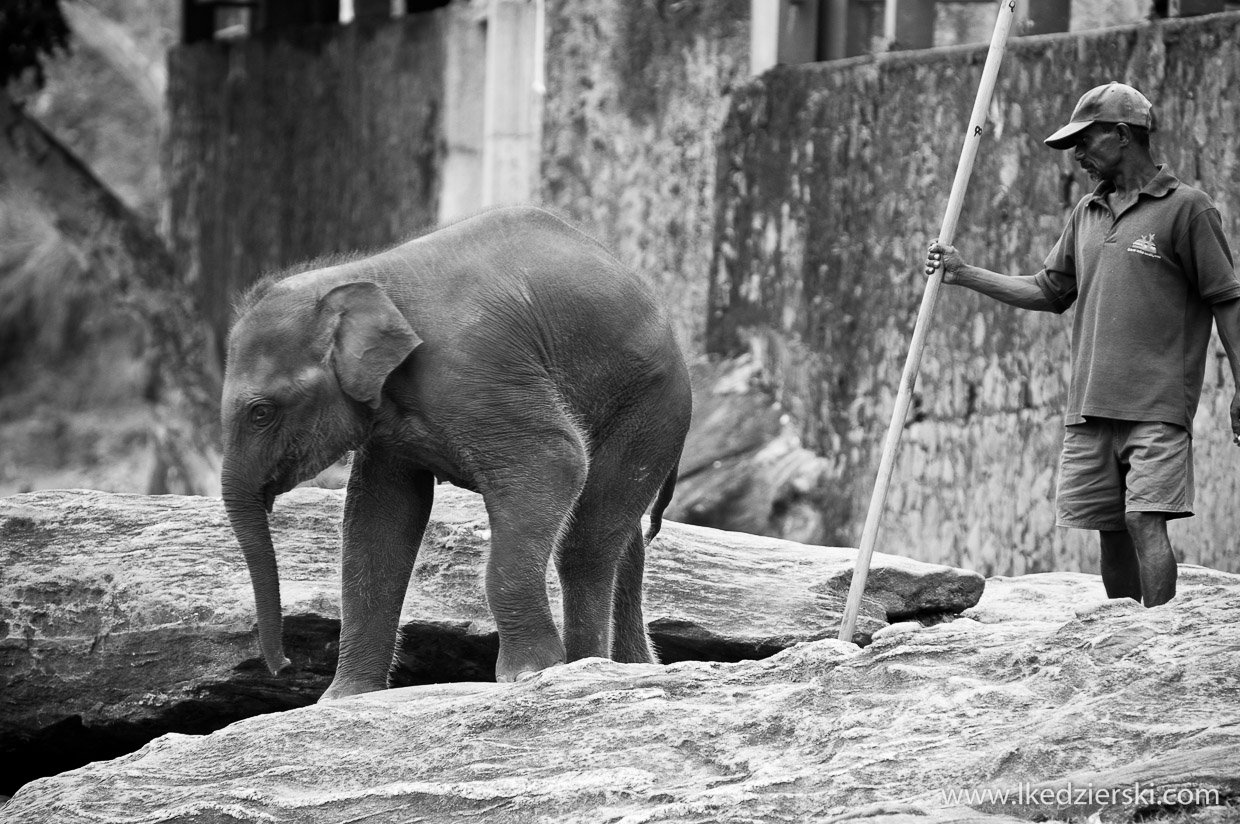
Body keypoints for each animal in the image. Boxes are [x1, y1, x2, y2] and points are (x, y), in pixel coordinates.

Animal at [218, 206, 694, 698]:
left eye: (261, 412)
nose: (283, 665)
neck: (363, 276)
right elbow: (380, 515)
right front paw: (344, 697)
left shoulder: (473, 370)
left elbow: (553, 463)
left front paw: (528, 673)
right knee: (623, 538)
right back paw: (632, 666)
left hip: (653, 405)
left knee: (587, 541)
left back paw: (586, 664)